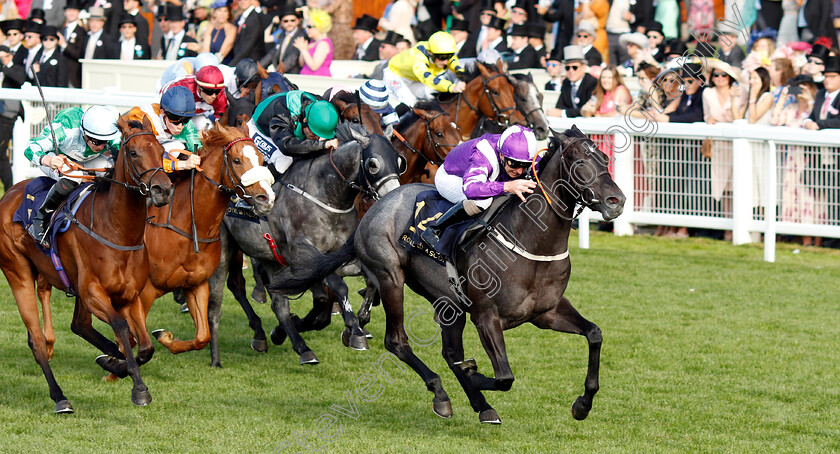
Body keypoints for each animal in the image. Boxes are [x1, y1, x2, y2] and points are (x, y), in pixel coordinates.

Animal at [0, 116, 172, 412]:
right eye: (134, 152)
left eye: (161, 151)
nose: (163, 190)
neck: (116, 230)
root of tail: (9, 193)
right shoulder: (93, 292)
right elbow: (122, 327)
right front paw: (139, 389)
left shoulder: (130, 295)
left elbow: (146, 346)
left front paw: (117, 363)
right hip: (17, 272)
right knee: (37, 340)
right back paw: (60, 397)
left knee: (79, 325)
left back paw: (110, 358)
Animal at [272, 126, 628, 424]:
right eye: (580, 161)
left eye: (605, 158)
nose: (617, 201)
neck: (529, 242)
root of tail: (373, 210)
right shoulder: (486, 316)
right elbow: (504, 377)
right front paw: (474, 372)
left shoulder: (546, 312)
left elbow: (595, 334)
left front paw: (582, 404)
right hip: (390, 277)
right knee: (397, 341)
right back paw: (441, 392)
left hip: (448, 303)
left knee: (449, 352)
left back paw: (481, 406)